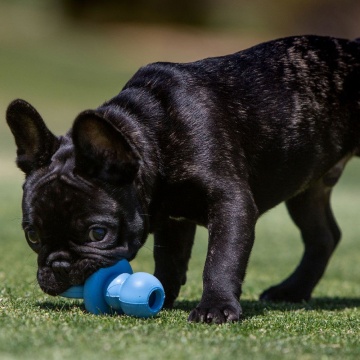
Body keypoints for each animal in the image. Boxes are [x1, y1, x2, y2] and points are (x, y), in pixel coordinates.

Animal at [5, 35, 360, 324]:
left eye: (98, 233)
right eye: (32, 236)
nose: (60, 266)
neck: (148, 132)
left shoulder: (231, 203)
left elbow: (221, 258)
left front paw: (216, 307)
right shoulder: (171, 218)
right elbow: (170, 258)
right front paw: (162, 293)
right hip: (306, 189)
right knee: (323, 236)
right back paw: (293, 290)